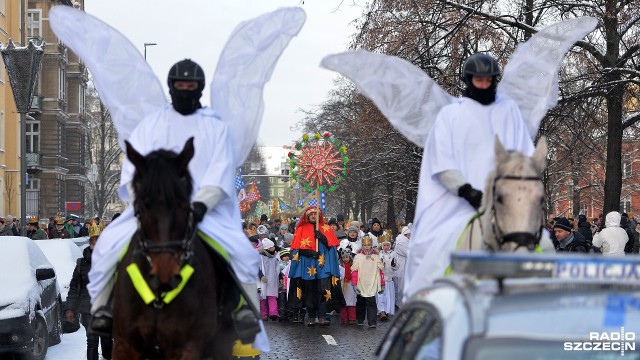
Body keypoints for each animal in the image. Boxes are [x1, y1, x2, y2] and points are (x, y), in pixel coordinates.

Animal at [113, 139, 238, 360]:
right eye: (142, 208)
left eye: (184, 206)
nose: (165, 275)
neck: (158, 299)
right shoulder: (125, 344)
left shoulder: (187, 348)